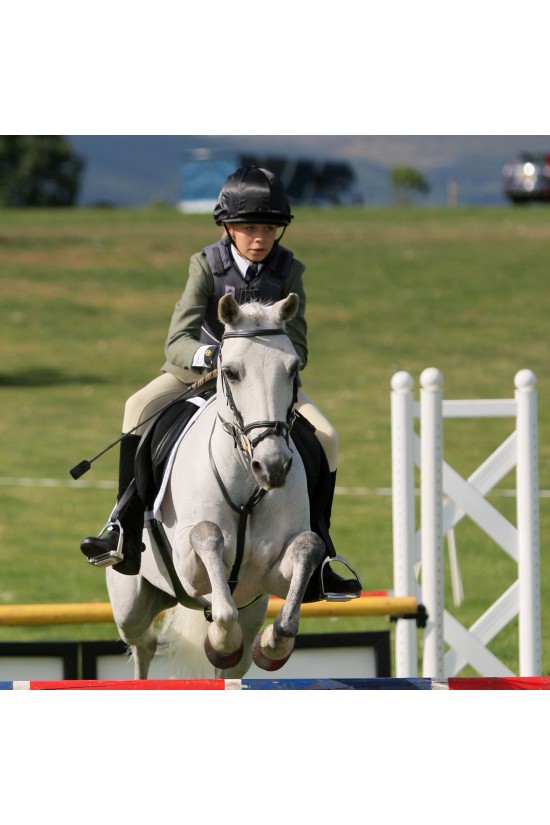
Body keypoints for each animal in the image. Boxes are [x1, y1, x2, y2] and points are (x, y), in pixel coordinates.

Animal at [105, 292, 327, 679]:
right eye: (231, 372)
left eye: (293, 368)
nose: (273, 466)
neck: (247, 482)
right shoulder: (188, 565)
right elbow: (207, 535)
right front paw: (222, 639)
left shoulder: (271, 577)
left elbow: (307, 547)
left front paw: (272, 645)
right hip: (130, 600)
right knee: (144, 641)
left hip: (251, 612)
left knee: (230, 666)